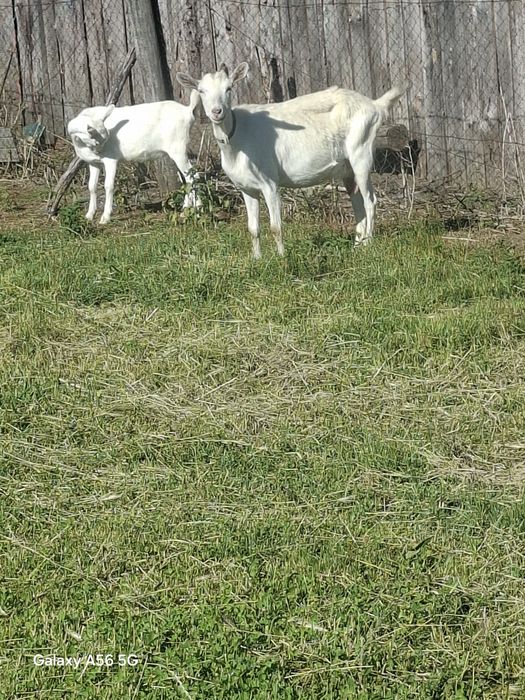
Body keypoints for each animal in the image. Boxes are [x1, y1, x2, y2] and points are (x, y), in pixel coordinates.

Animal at [67, 93, 201, 224]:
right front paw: (89, 215)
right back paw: (185, 210)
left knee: (193, 176)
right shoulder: (93, 163)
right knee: (186, 178)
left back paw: (198, 209)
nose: (100, 152)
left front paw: (105, 217)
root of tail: (187, 111)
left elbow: (108, 185)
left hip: (178, 149)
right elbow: (92, 186)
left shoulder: (111, 160)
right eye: (95, 141)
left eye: (106, 139)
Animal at [177, 63, 405, 258]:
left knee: (370, 200)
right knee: (357, 202)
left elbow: (275, 226)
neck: (238, 136)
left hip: (361, 152)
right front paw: (257, 259)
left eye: (229, 88)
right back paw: (357, 246)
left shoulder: (269, 184)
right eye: (201, 91)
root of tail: (375, 105)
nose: (217, 111)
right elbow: (253, 228)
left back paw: (369, 244)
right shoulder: (246, 188)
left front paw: (281, 258)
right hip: (347, 167)